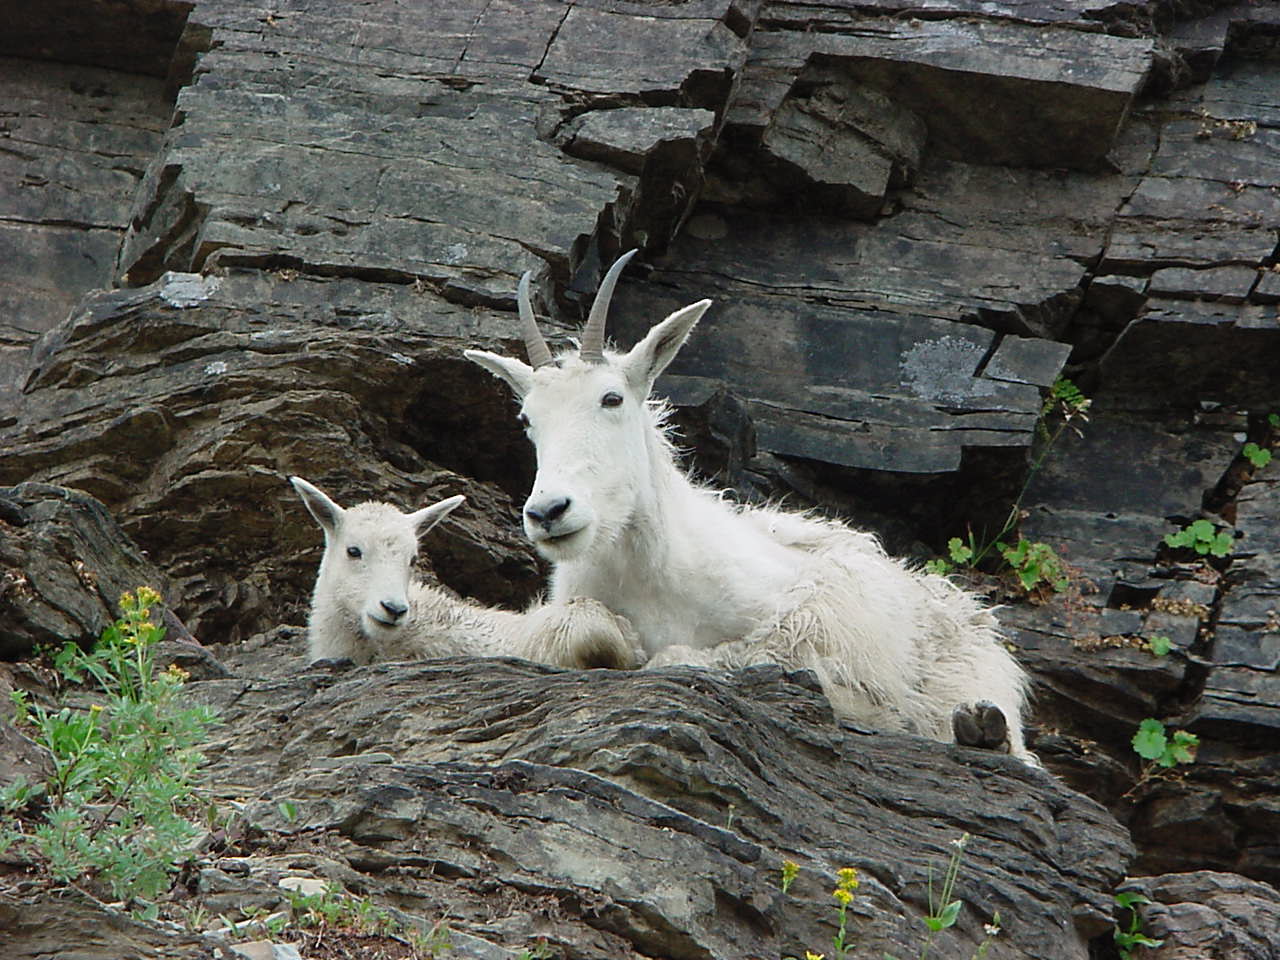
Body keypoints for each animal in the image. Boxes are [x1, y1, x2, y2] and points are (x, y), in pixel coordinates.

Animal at [463, 254, 1035, 761]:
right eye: (527, 419)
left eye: (612, 398)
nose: (549, 512)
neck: (648, 576)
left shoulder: (807, 616)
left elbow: (708, 656)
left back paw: (981, 730)